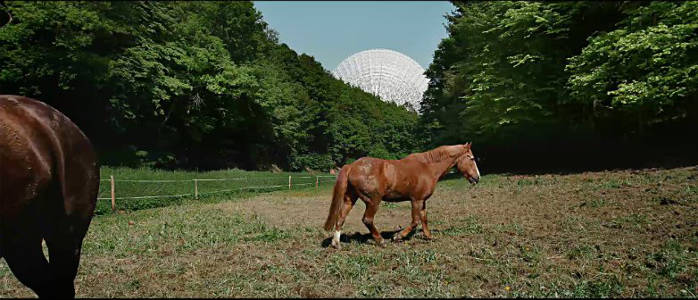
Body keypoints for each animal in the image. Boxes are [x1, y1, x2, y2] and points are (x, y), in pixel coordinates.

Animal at [322, 143, 478, 248]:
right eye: (471, 158)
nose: (477, 178)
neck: (427, 167)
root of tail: (352, 166)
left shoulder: (422, 201)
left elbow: (424, 219)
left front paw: (429, 237)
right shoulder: (416, 200)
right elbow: (415, 221)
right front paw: (397, 237)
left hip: (350, 199)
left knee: (341, 217)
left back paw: (336, 243)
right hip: (373, 200)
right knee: (367, 220)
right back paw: (381, 240)